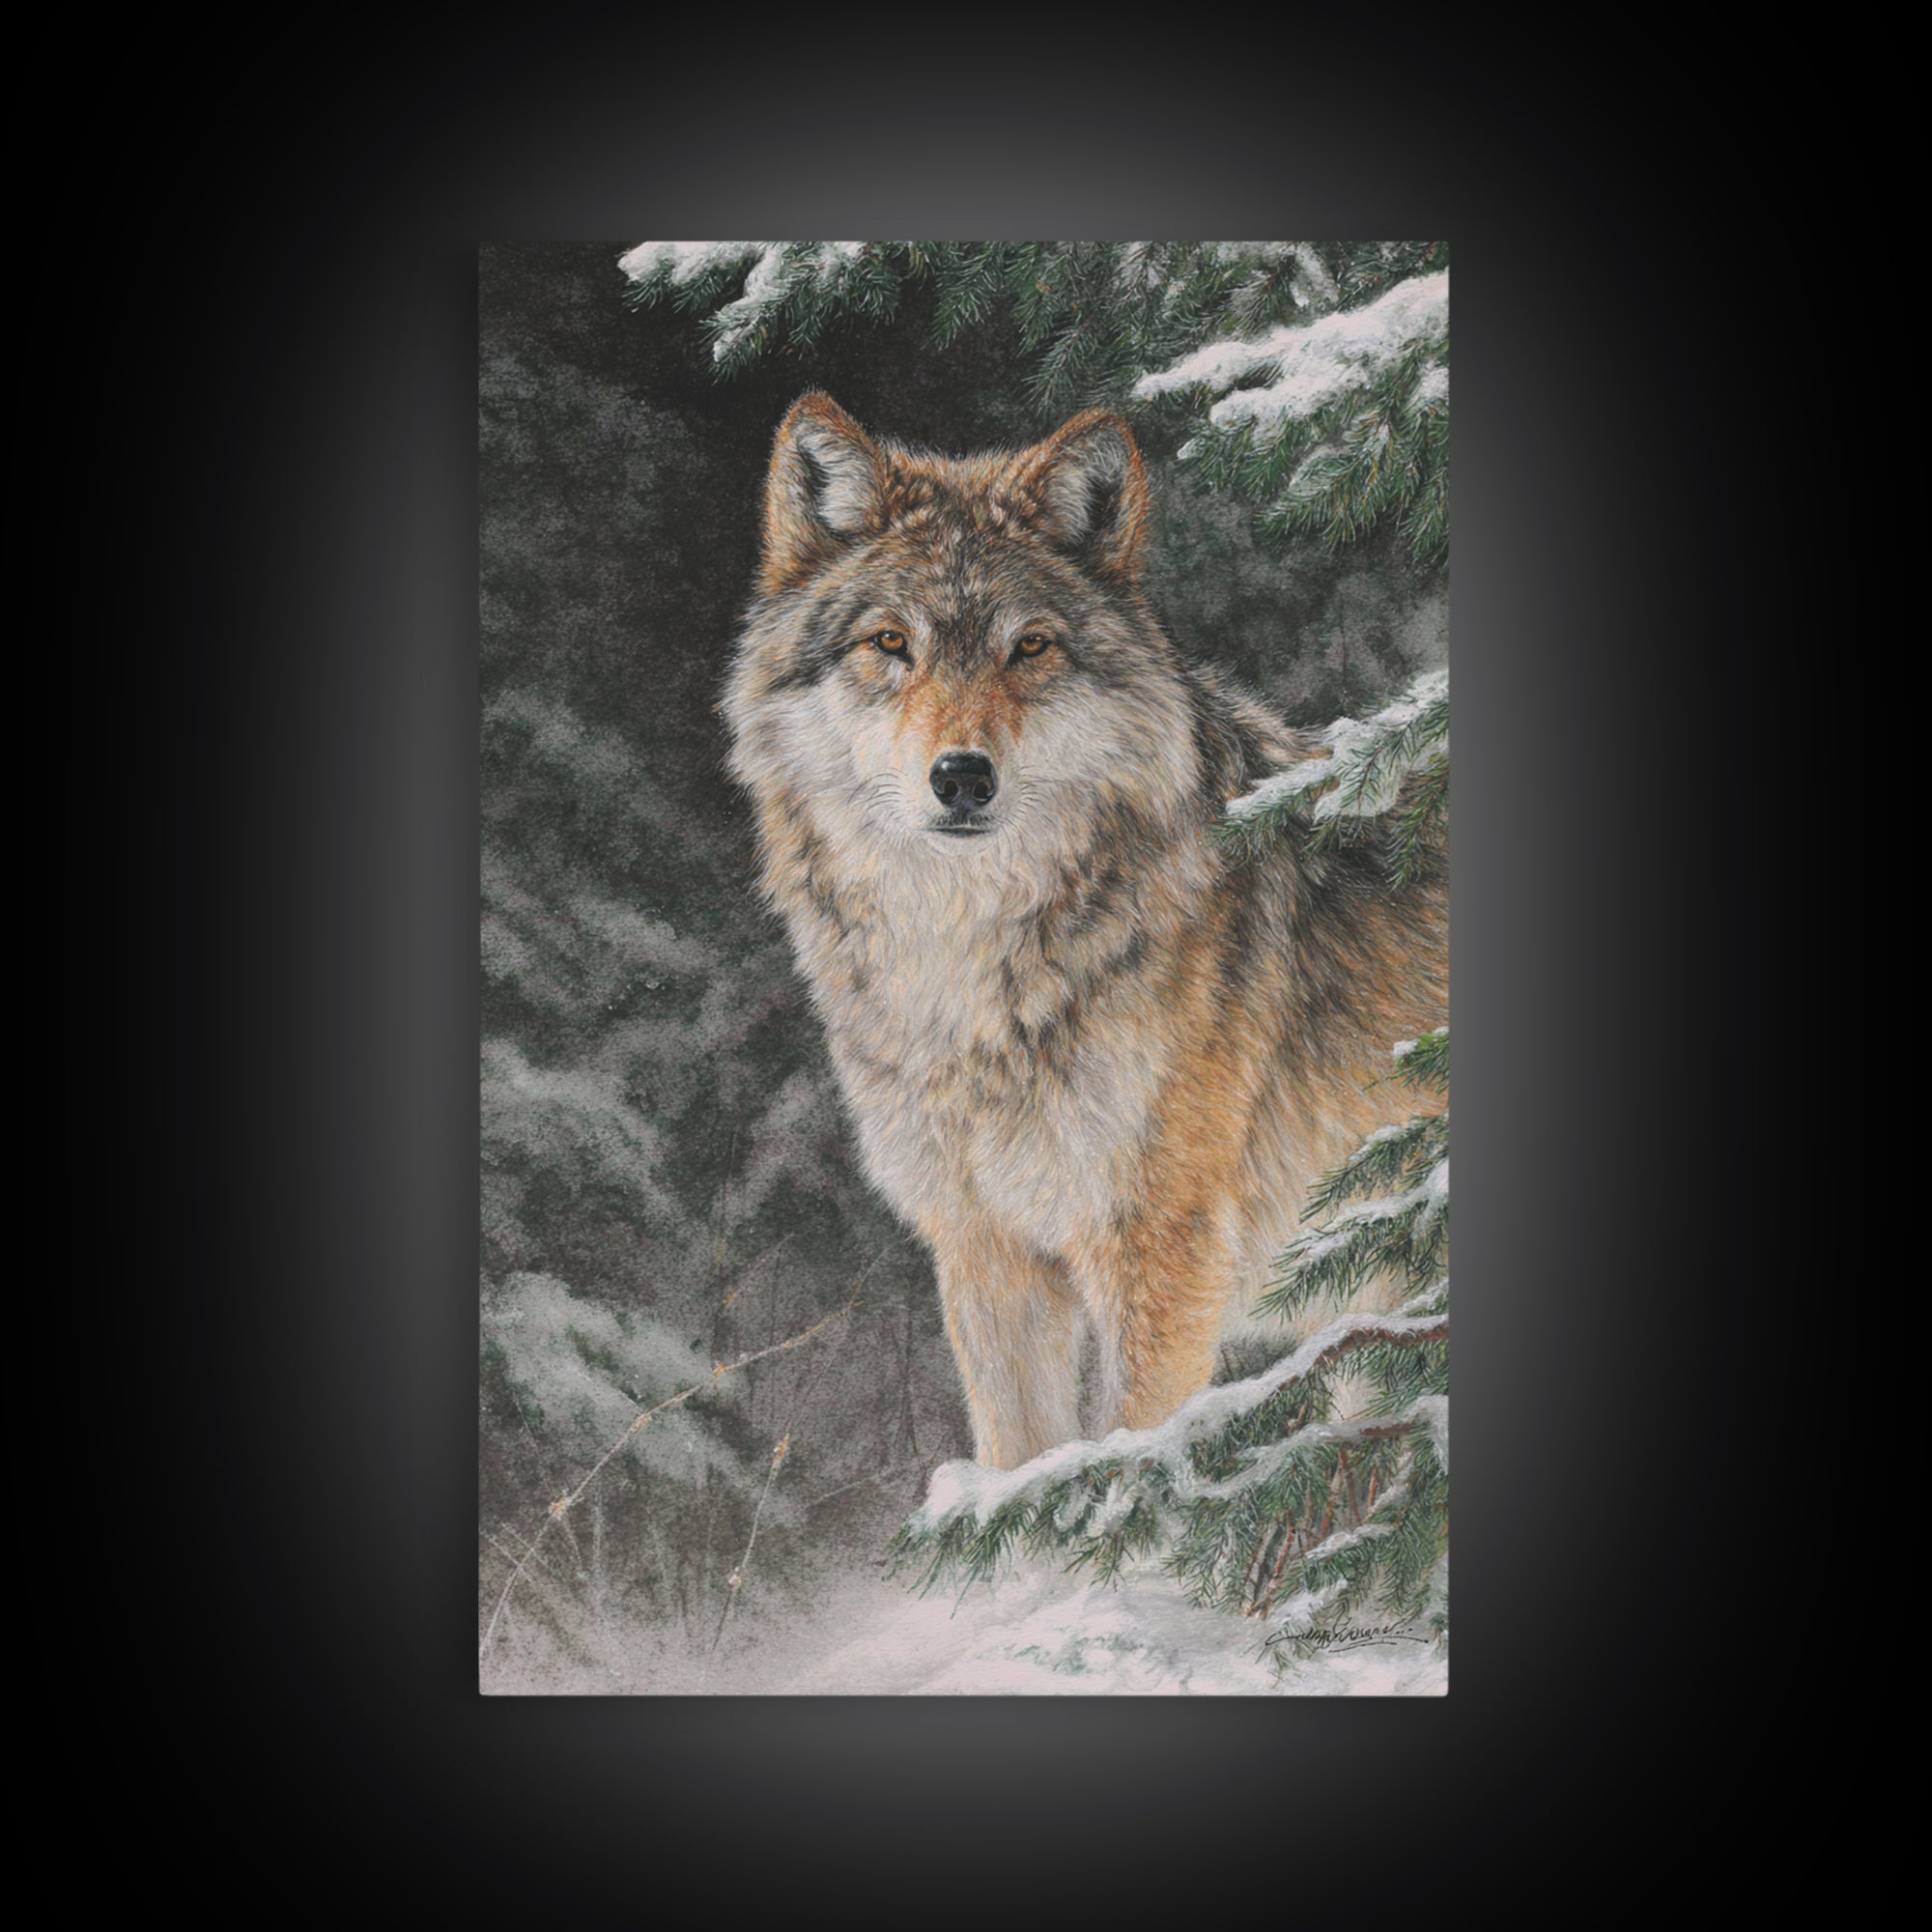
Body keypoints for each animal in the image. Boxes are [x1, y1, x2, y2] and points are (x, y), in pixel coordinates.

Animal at [722, 393, 1447, 1471]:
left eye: (1029, 647)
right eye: (890, 643)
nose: (962, 777)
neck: (973, 975)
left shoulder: (1158, 1249)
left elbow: (1125, 1466)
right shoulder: (986, 1251)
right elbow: (1022, 1472)